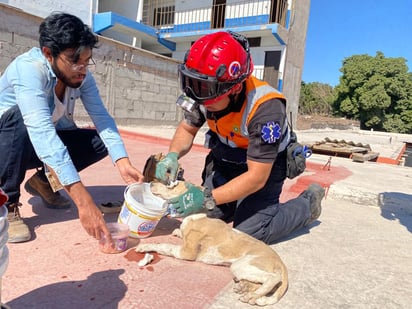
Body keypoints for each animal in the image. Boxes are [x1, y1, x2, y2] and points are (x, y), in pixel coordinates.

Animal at [137, 213, 288, 304]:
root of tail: (280, 261)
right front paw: (178, 232)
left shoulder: (186, 252)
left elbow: (163, 245)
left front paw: (145, 246)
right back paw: (245, 288)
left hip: (242, 265)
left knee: (273, 278)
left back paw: (252, 295)